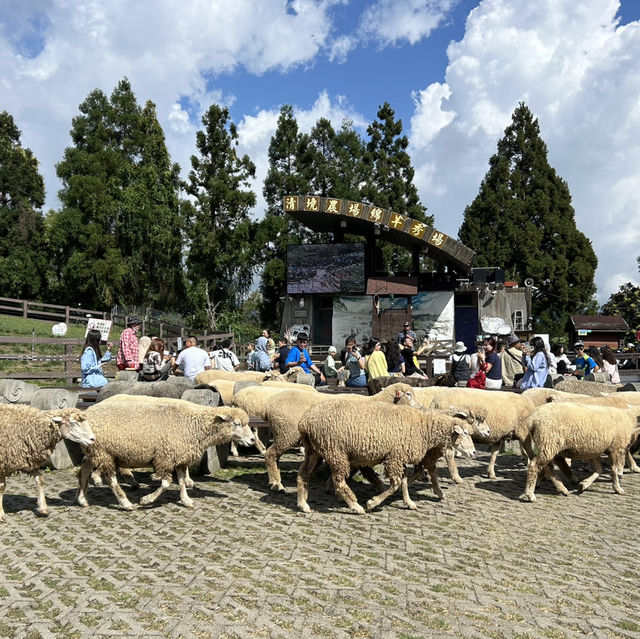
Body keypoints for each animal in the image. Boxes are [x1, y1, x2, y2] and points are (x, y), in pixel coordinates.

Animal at [81, 398, 256, 512]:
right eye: (236, 424)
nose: (253, 439)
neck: (194, 425)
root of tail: (87, 412)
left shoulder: (179, 457)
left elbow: (181, 481)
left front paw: (186, 500)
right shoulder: (165, 457)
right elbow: (166, 484)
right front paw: (146, 500)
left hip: (95, 452)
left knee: (83, 472)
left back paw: (82, 499)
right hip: (104, 452)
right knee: (111, 480)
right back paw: (126, 503)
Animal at [296, 402, 476, 516]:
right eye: (466, 433)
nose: (474, 452)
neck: (424, 427)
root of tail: (305, 422)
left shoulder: (399, 456)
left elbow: (403, 481)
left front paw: (409, 502)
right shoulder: (395, 457)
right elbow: (395, 484)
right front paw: (372, 502)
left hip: (315, 451)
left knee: (303, 474)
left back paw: (303, 504)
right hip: (335, 451)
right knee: (339, 482)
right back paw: (356, 506)